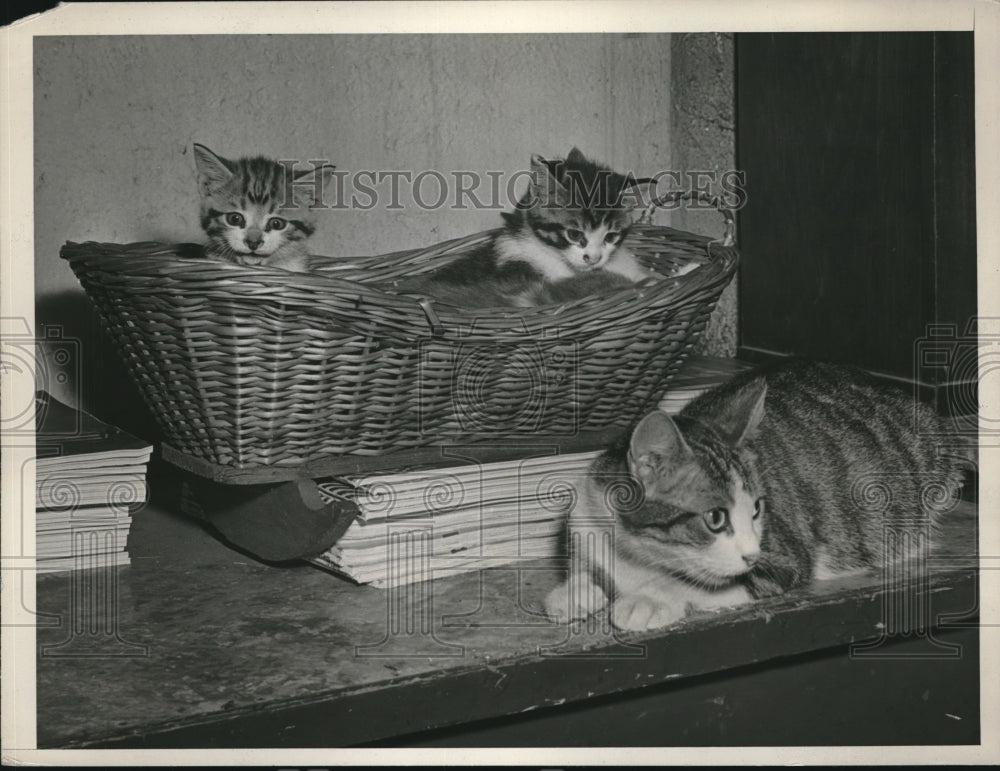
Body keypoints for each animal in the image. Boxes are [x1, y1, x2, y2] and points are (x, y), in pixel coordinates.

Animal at [544, 358, 964, 632]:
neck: (640, 553)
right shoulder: (585, 517)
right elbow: (587, 566)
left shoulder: (782, 558)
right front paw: (574, 590)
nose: (751, 554)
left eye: (758, 509)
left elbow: (704, 581)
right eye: (715, 518)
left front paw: (650, 599)